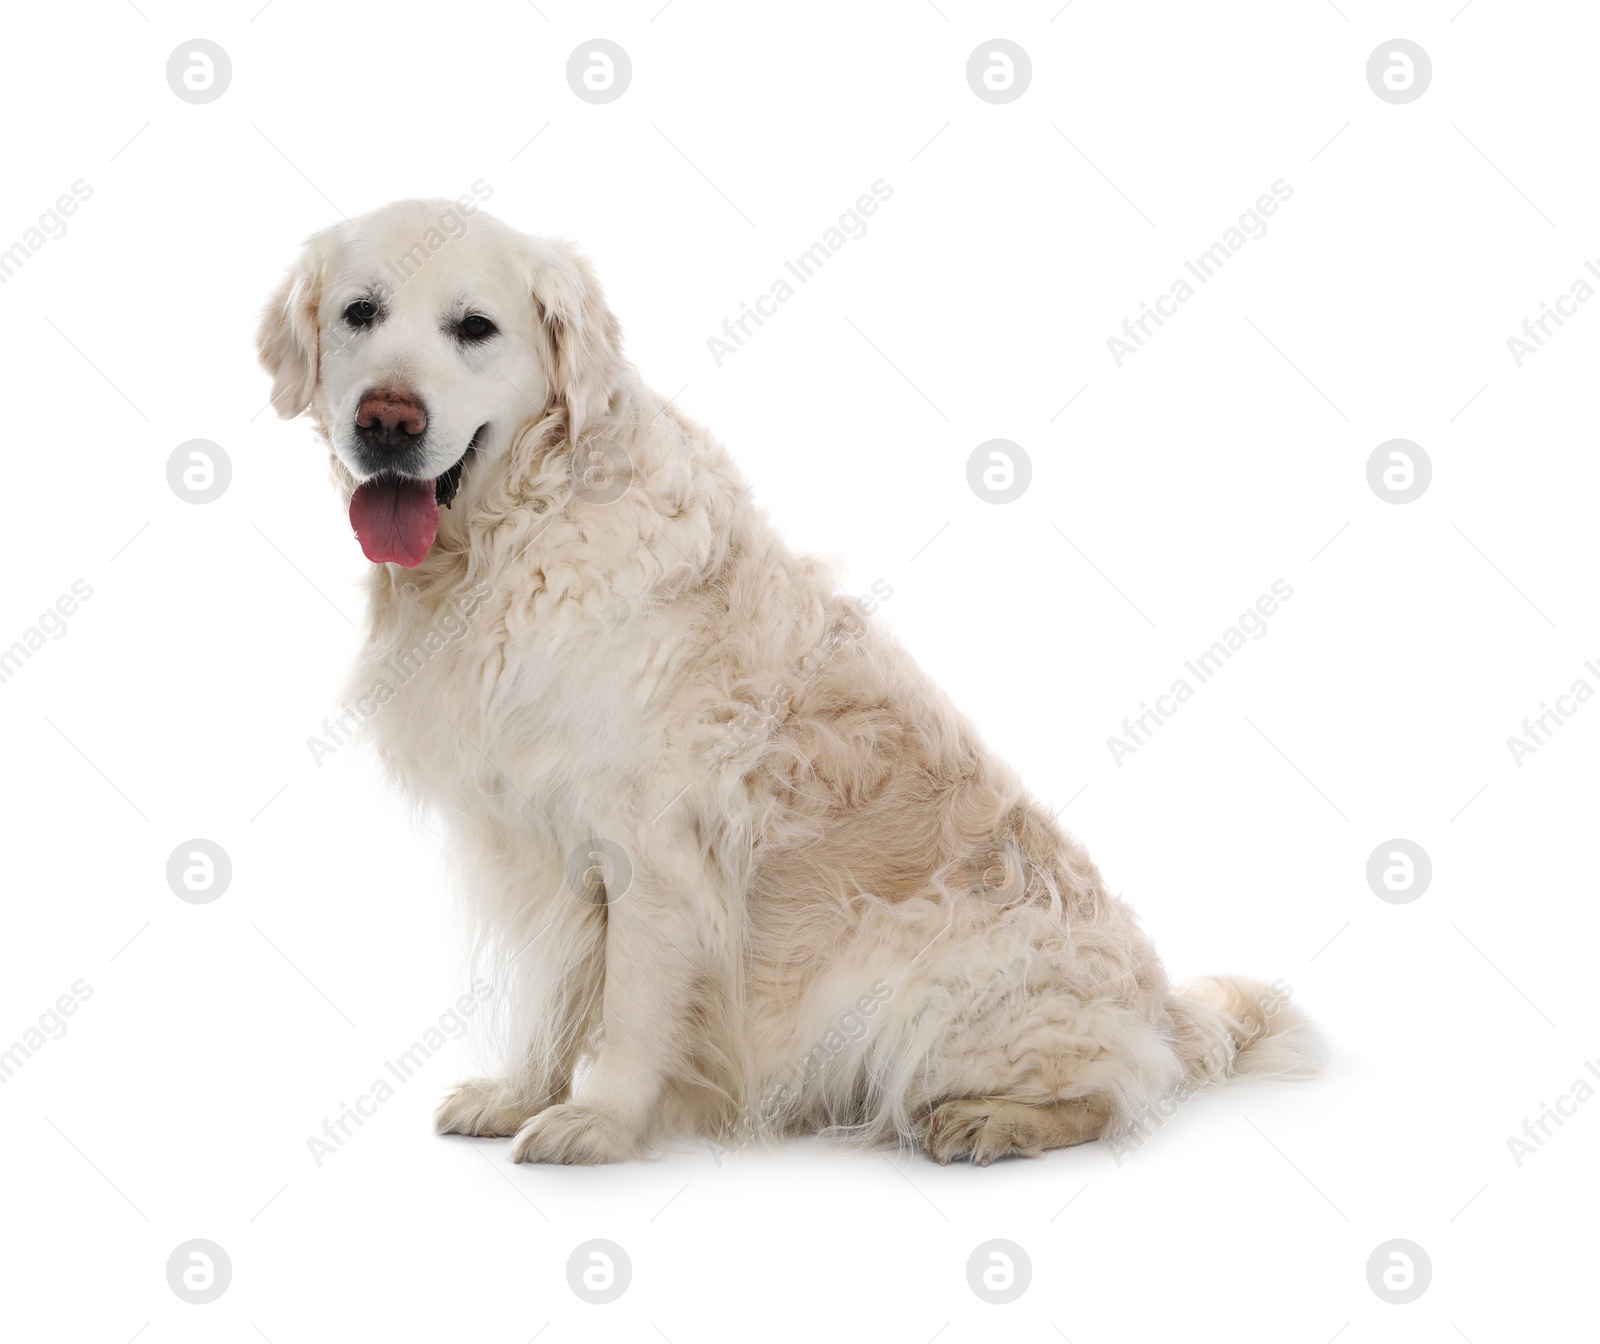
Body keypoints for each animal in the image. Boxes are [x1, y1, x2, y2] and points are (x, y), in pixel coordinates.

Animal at [256, 199, 1318, 1164]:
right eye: (359, 312)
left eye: (474, 327)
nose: (387, 422)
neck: (517, 534)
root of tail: (1170, 1007)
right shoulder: (541, 845)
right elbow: (550, 996)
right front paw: (520, 1096)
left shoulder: (654, 851)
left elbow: (631, 1006)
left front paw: (601, 1122)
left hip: (919, 978)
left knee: (1120, 1088)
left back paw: (988, 1123)